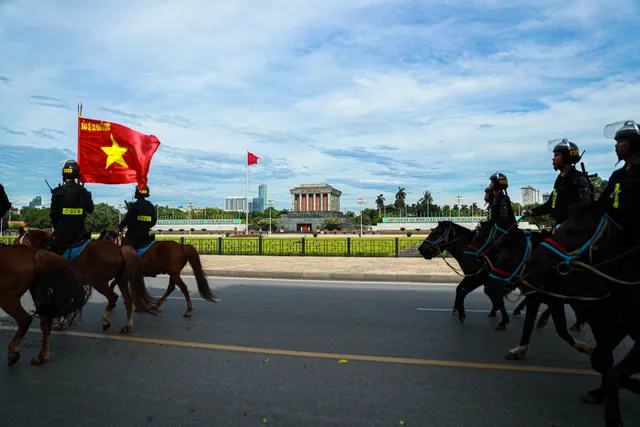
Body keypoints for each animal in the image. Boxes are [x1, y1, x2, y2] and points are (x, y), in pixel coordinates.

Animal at [14, 227, 156, 334]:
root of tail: (119, 248)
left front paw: (60, 321)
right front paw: (62, 322)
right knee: (127, 299)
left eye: (17, 242)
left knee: (113, 297)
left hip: (99, 282)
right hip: (120, 280)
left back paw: (105, 321)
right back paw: (127, 325)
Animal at [524, 202, 640, 427]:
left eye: (574, 231)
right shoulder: (610, 323)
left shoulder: (614, 324)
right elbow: (603, 361)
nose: (531, 263)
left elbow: (610, 367)